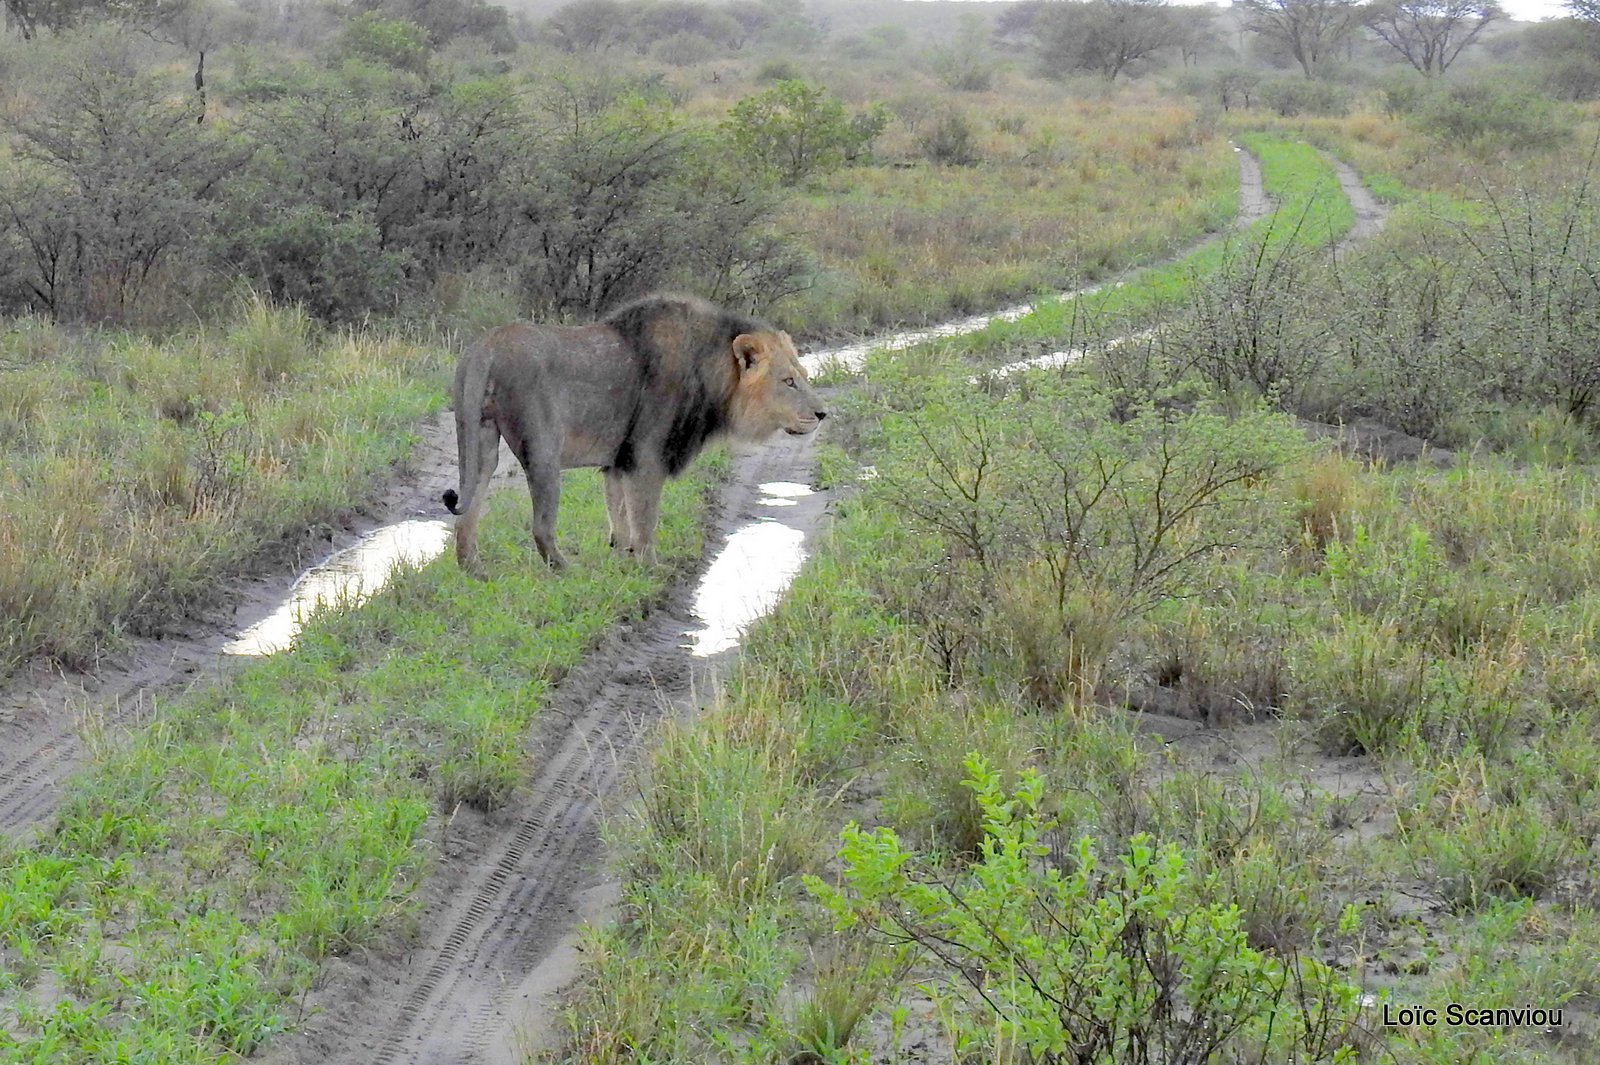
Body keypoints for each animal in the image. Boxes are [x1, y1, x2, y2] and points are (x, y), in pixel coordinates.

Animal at [444, 291, 832, 572]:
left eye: (803, 375)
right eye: (788, 381)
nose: (822, 413)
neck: (711, 371)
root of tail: (486, 348)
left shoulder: (619, 461)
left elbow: (620, 516)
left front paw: (622, 561)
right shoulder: (646, 457)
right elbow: (645, 519)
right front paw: (650, 568)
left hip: (478, 439)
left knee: (467, 515)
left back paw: (474, 571)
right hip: (543, 449)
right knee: (541, 525)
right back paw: (566, 571)